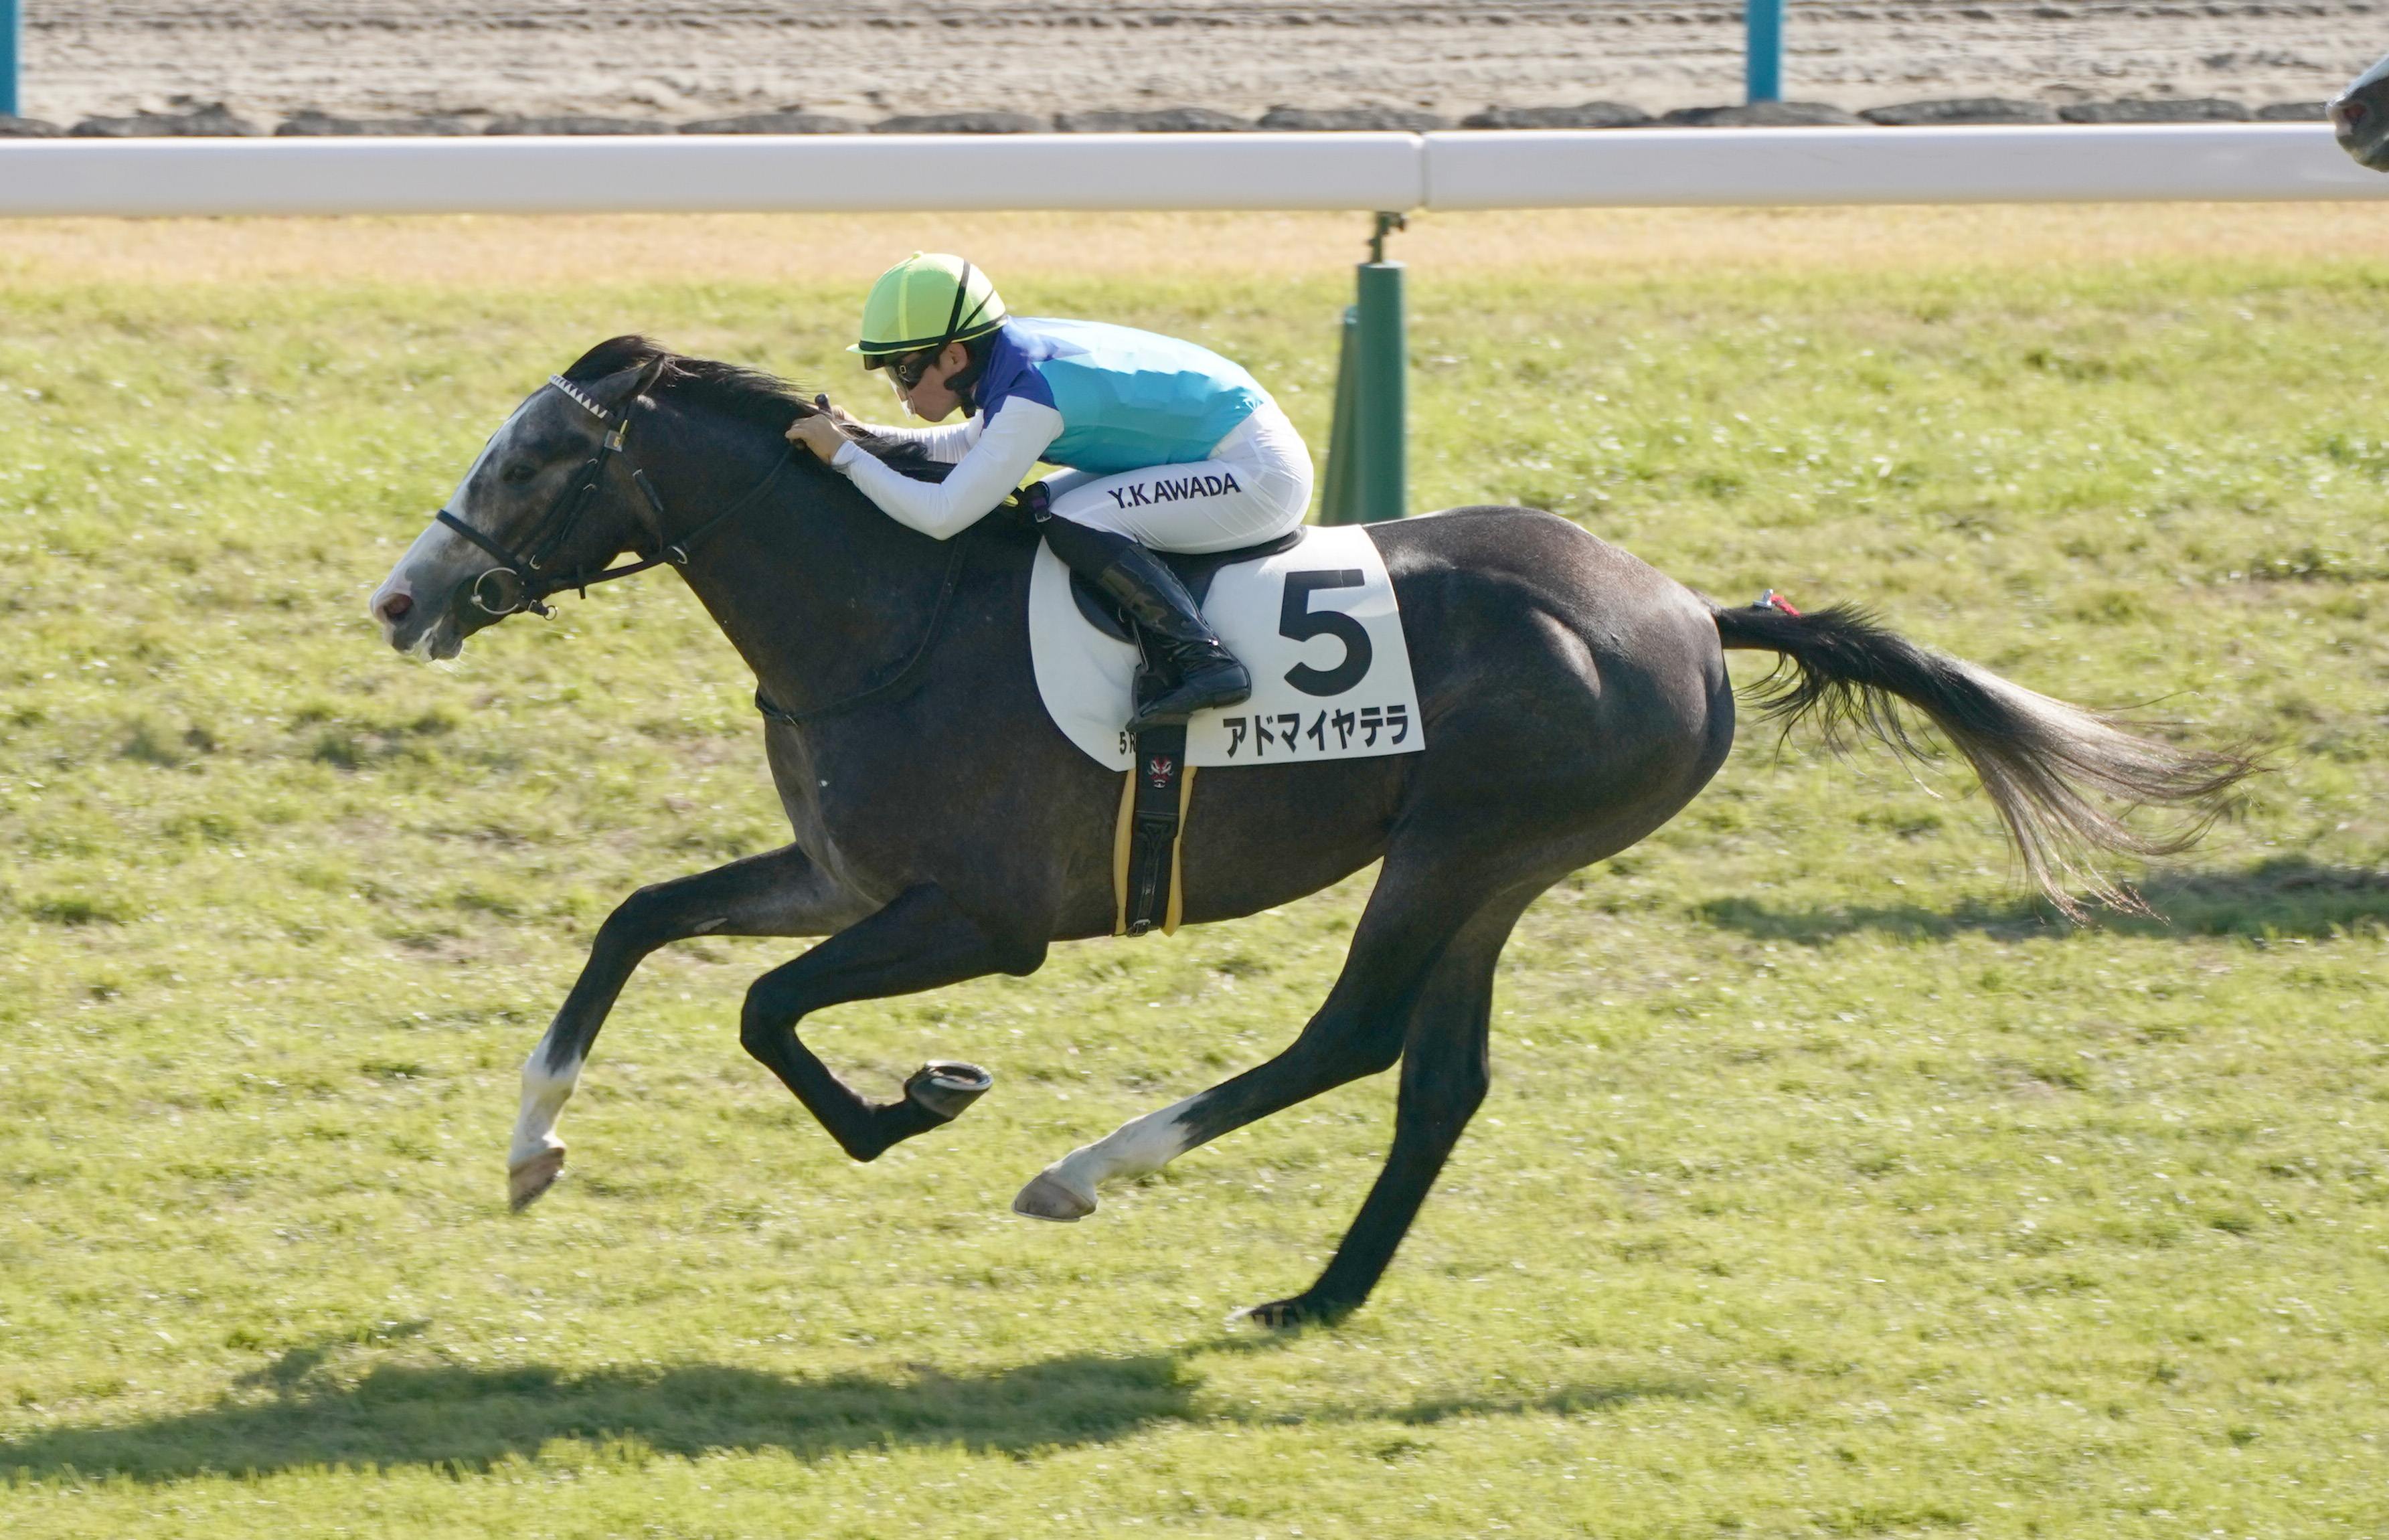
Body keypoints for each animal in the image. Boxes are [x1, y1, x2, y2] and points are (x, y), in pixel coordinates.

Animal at [368, 337, 2248, 1325]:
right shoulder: (840, 874)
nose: (402, 597)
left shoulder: (981, 918)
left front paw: (922, 1099)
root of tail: (1689, 614)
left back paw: (1087, 1170)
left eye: (531, 463)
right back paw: (1318, 1293)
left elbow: (767, 1010)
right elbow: (635, 918)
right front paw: (530, 1145)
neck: (883, 612)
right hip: (1494, 868)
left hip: (1466, 845)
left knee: (1348, 1036)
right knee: (1437, 1078)